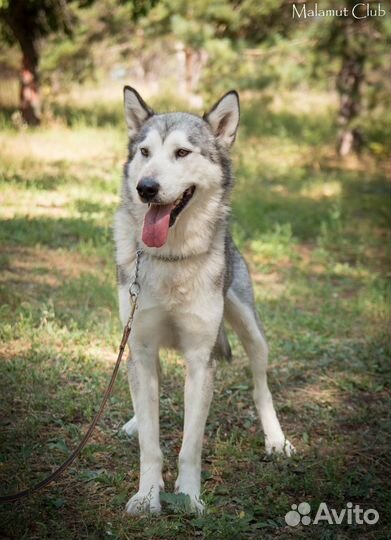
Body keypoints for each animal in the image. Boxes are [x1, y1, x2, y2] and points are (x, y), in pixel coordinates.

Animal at [113, 86, 294, 516]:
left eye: (182, 153)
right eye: (145, 152)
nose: (146, 187)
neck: (171, 258)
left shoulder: (200, 357)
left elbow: (189, 446)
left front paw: (189, 498)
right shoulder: (140, 346)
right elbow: (151, 443)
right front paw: (147, 495)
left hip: (250, 330)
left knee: (261, 385)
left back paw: (276, 439)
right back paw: (133, 421)